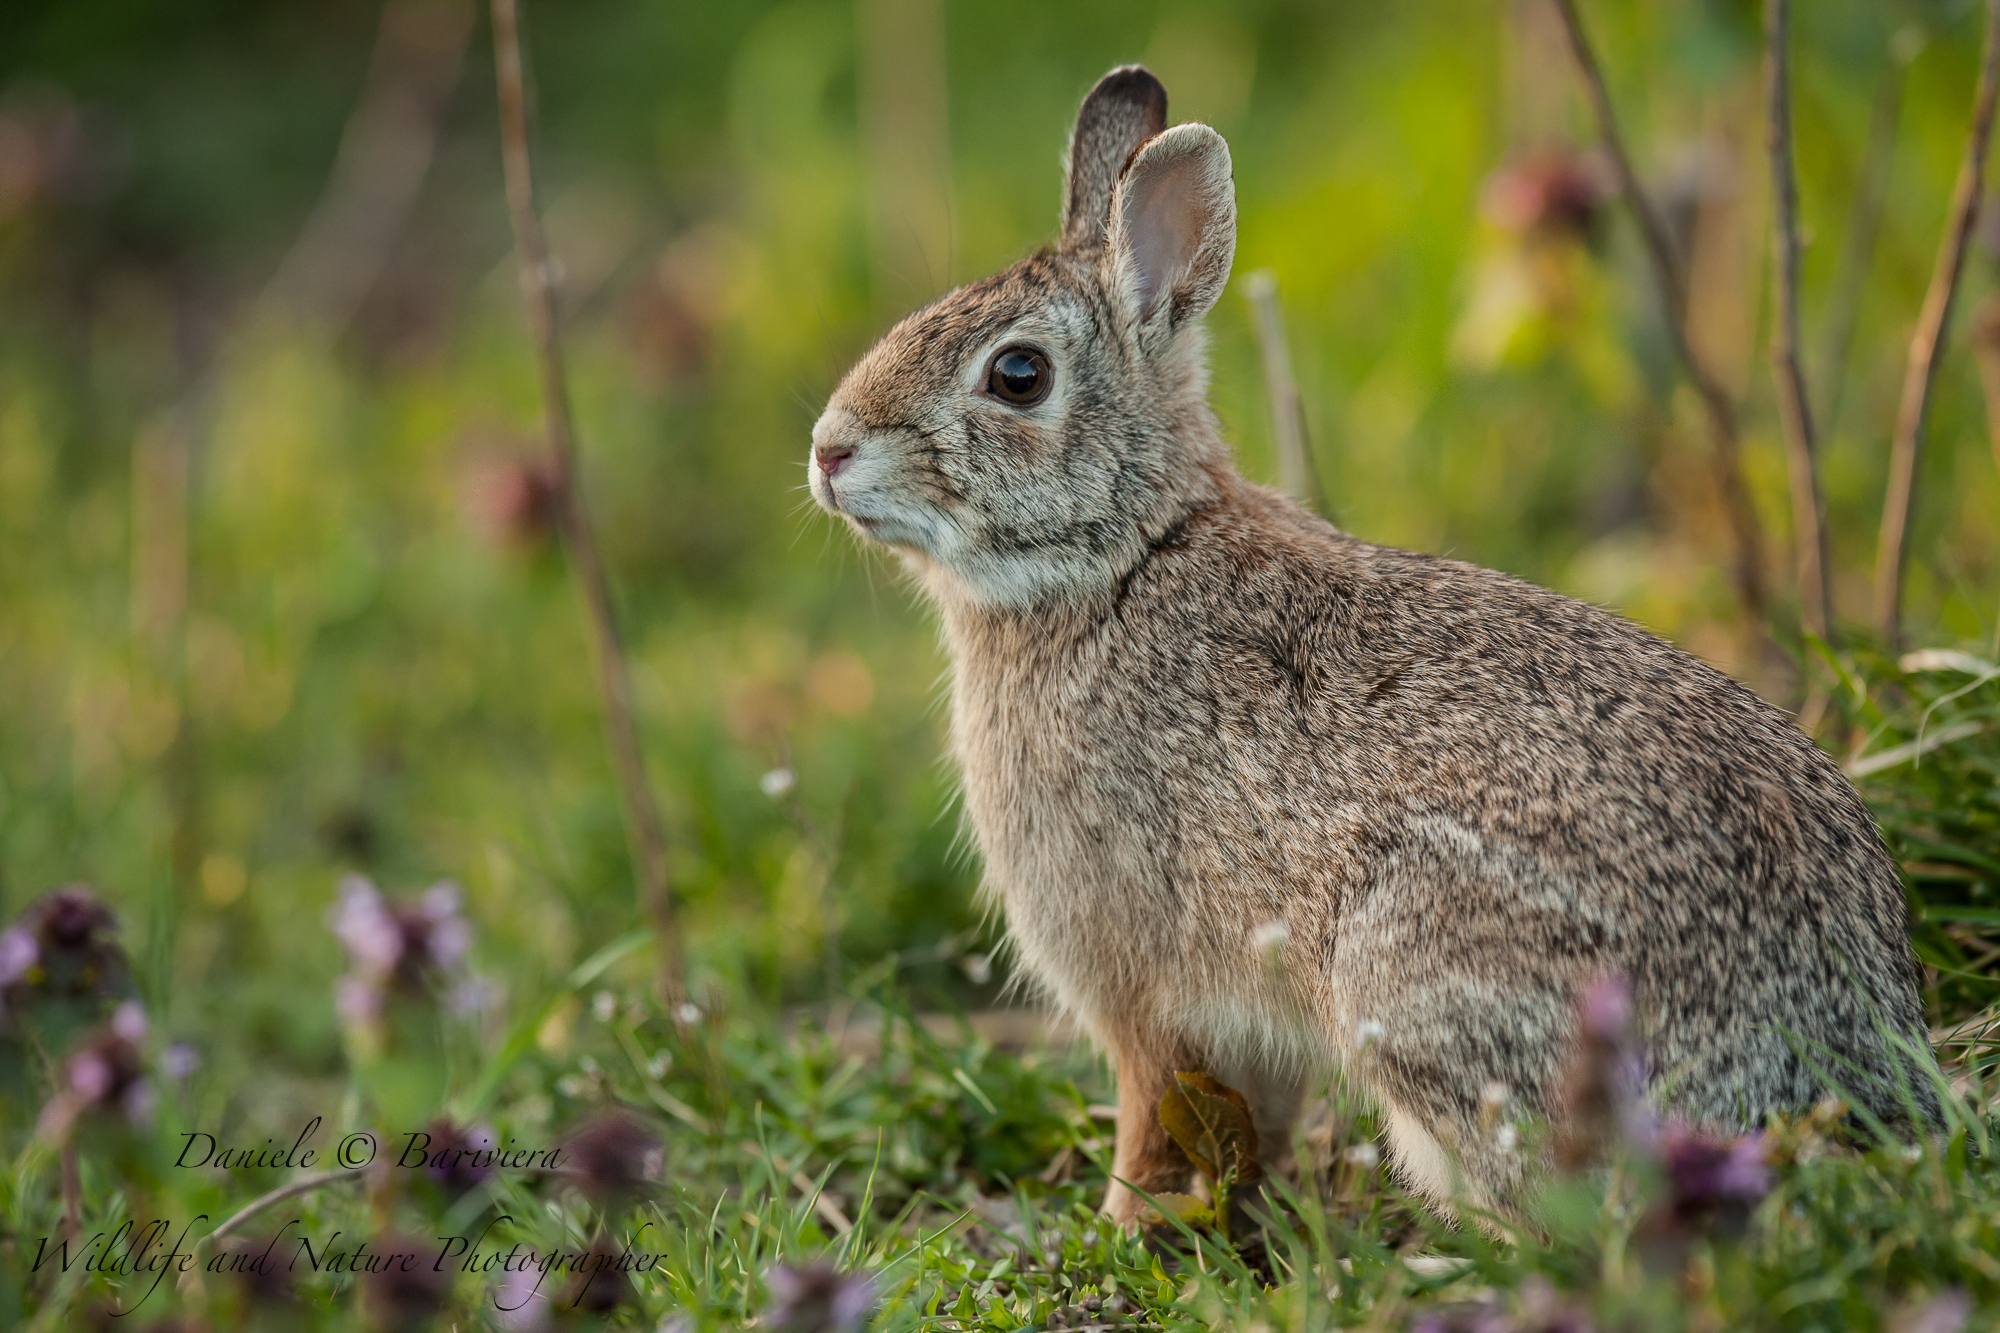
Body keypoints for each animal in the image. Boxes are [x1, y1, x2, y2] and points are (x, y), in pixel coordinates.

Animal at [806, 64, 1940, 1225]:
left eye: (1018, 375)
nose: (829, 450)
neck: (1126, 550)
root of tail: (1813, 1082)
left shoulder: (1130, 976)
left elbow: (1147, 1112)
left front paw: (1114, 1223)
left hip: (1413, 980)